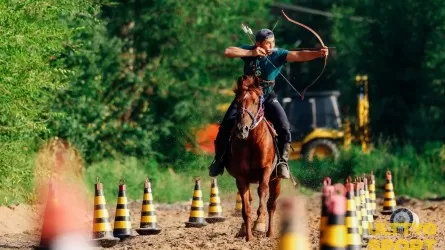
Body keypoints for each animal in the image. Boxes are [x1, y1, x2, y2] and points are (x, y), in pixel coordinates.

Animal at [225, 74, 280, 242]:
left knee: (272, 204)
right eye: (237, 102)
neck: (252, 142)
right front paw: (249, 237)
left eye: (255, 102)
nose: (241, 129)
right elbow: (246, 209)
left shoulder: (266, 170)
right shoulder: (241, 177)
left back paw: (269, 233)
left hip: (277, 179)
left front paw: (259, 224)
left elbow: (262, 191)